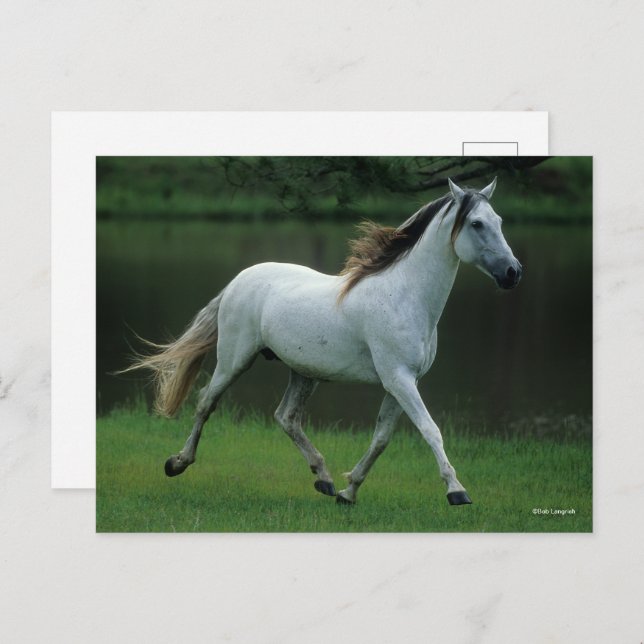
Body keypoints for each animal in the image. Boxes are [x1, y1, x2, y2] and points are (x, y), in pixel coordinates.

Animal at [124, 177, 522, 506]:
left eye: (499, 221)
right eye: (476, 224)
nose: (513, 273)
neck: (404, 296)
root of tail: (239, 280)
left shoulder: (402, 382)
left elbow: (381, 438)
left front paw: (349, 491)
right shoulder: (399, 378)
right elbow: (430, 430)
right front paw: (457, 491)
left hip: (304, 372)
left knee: (286, 417)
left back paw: (325, 479)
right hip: (234, 359)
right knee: (207, 403)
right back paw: (177, 463)